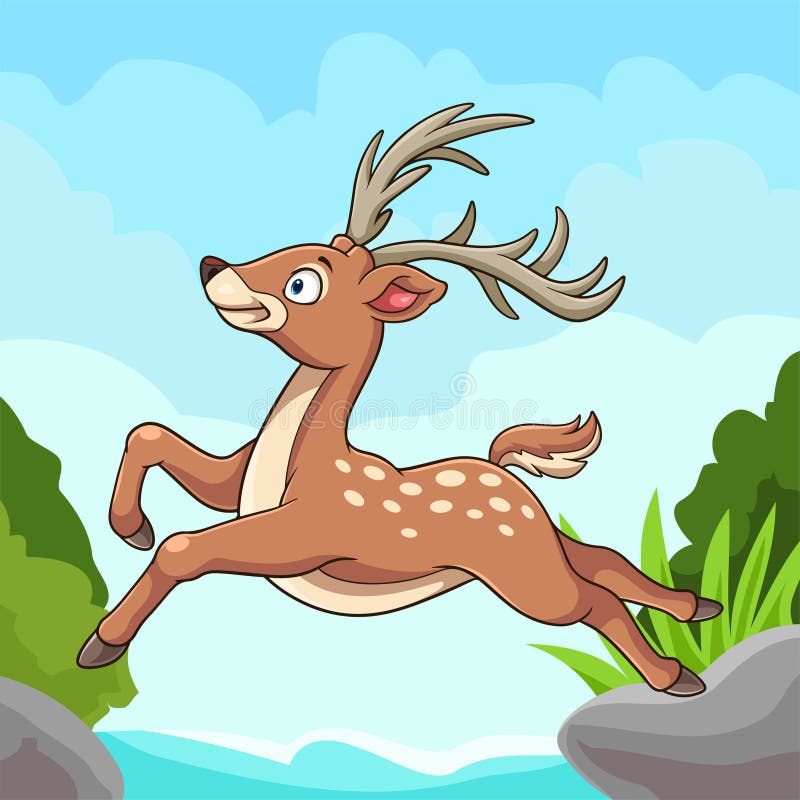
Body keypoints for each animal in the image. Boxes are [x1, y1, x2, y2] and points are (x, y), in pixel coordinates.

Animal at [78, 104, 722, 696]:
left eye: (304, 282)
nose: (214, 266)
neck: (297, 463)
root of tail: (506, 473)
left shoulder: (313, 532)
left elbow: (183, 548)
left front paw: (101, 645)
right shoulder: (234, 486)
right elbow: (149, 434)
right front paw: (130, 528)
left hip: (526, 576)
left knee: (591, 601)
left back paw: (674, 676)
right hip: (542, 544)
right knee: (600, 557)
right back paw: (696, 607)